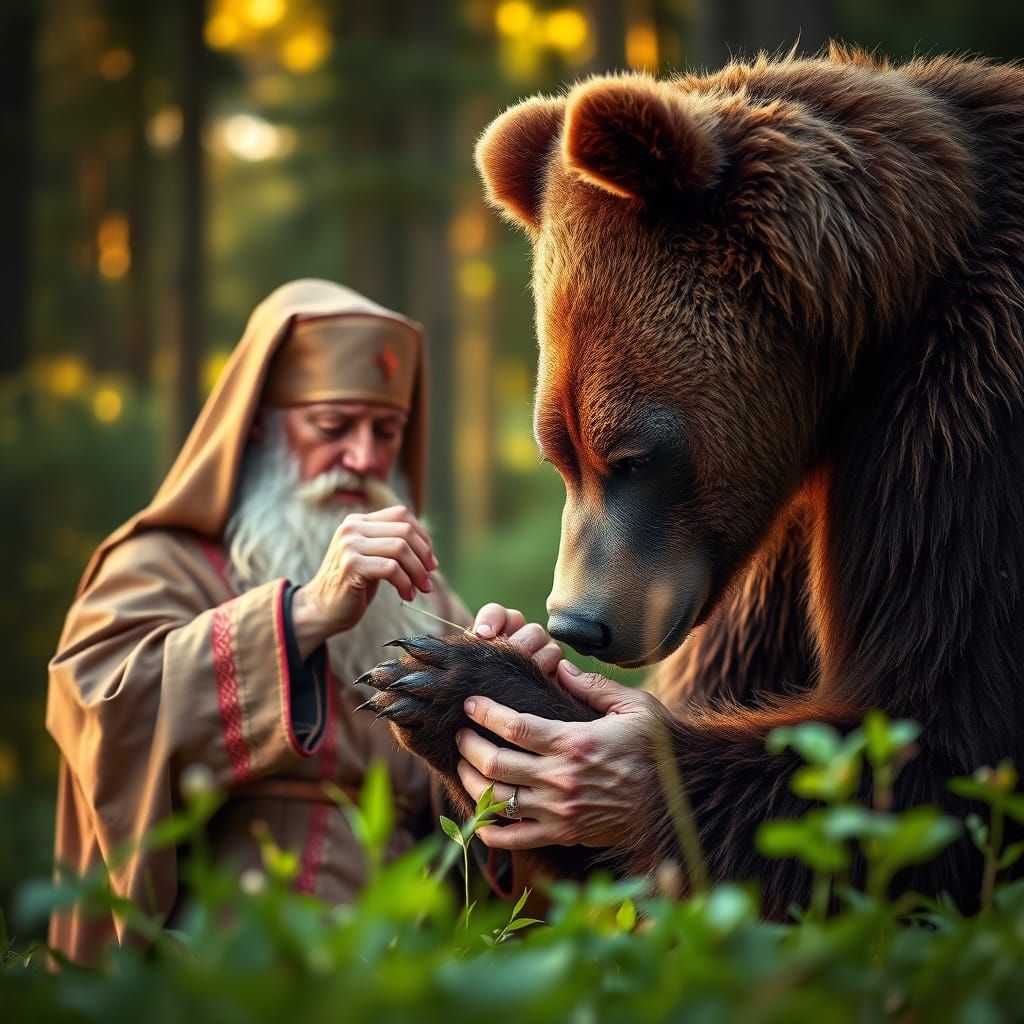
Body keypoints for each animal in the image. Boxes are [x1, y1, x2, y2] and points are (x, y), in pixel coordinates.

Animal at [359, 46, 1024, 917]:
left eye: (634, 455)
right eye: (558, 452)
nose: (578, 624)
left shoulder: (965, 420)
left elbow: (930, 750)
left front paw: (485, 686)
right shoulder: (771, 535)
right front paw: (420, 687)